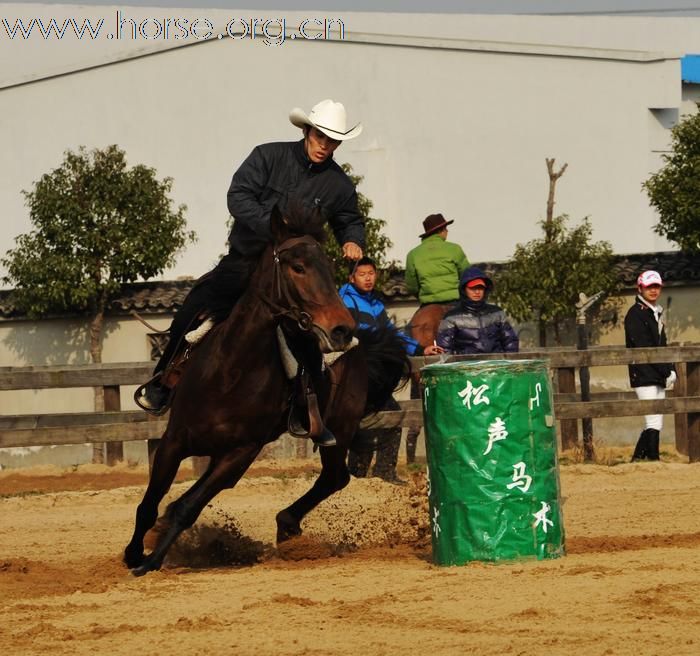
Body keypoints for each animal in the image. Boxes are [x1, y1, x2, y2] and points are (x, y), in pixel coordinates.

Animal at [124, 205, 410, 576]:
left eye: (328, 267)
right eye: (297, 267)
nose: (341, 328)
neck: (231, 371)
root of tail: (364, 344)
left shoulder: (241, 453)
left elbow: (187, 508)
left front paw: (151, 560)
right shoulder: (174, 441)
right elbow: (150, 502)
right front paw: (134, 553)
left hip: (340, 427)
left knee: (335, 477)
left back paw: (287, 525)